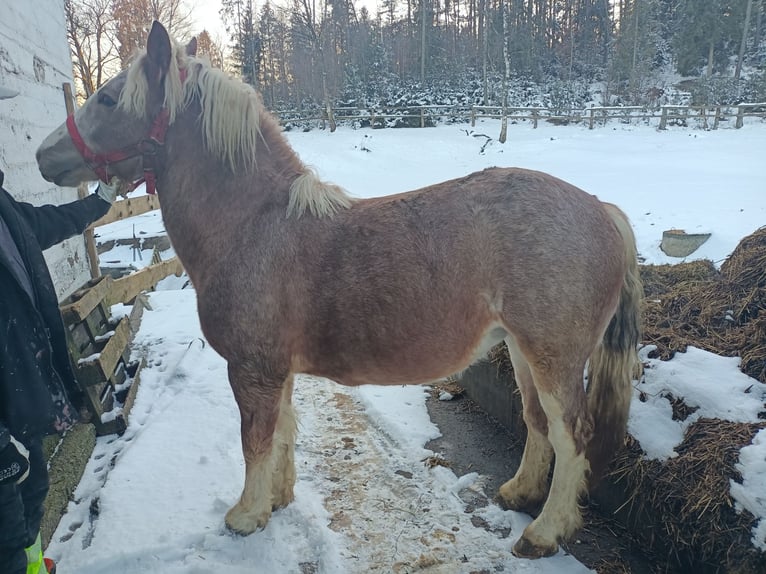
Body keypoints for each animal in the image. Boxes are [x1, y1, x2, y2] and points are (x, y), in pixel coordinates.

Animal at [39, 21, 644, 560]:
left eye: (110, 99)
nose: (44, 156)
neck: (254, 225)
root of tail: (602, 210)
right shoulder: (275, 371)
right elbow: (282, 431)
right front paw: (278, 499)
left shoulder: (251, 369)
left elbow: (255, 440)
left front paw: (246, 516)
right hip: (522, 352)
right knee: (538, 425)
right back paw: (520, 494)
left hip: (554, 358)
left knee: (571, 435)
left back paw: (545, 532)